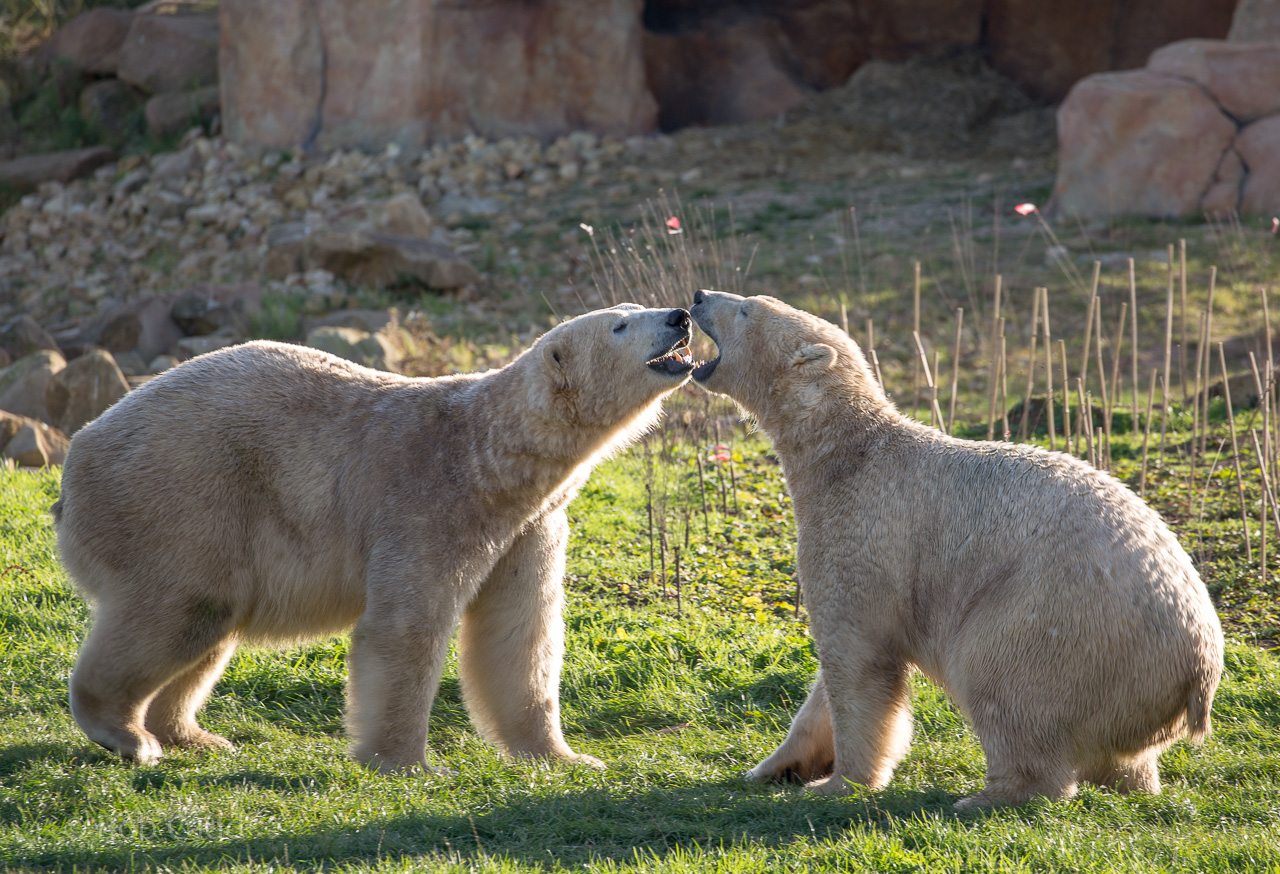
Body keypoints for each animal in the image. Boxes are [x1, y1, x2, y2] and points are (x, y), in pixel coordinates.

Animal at [54, 304, 695, 773]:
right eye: (621, 324)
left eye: (638, 305)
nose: (681, 315)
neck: (492, 454)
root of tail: (75, 460)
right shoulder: (430, 500)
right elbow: (405, 628)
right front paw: (406, 762)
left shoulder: (531, 525)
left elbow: (520, 633)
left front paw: (565, 756)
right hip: (181, 497)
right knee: (182, 609)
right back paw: (128, 735)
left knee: (209, 627)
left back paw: (192, 734)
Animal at [687, 288, 1223, 809]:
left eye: (745, 307)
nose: (696, 296)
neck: (845, 453)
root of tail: (1198, 666)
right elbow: (830, 678)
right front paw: (772, 768)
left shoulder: (862, 532)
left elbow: (858, 660)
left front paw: (840, 783)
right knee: (1123, 753)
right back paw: (1132, 783)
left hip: (1060, 624)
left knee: (1001, 682)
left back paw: (991, 795)